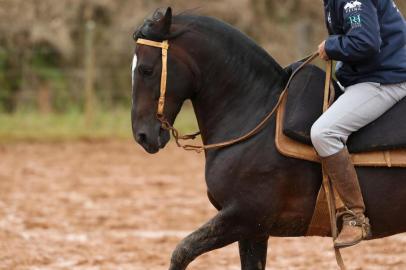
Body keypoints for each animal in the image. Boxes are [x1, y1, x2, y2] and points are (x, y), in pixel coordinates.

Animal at [131, 7, 406, 268]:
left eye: (147, 70)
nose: (142, 135)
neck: (258, 113)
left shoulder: (243, 216)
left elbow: (181, 252)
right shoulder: (253, 231)